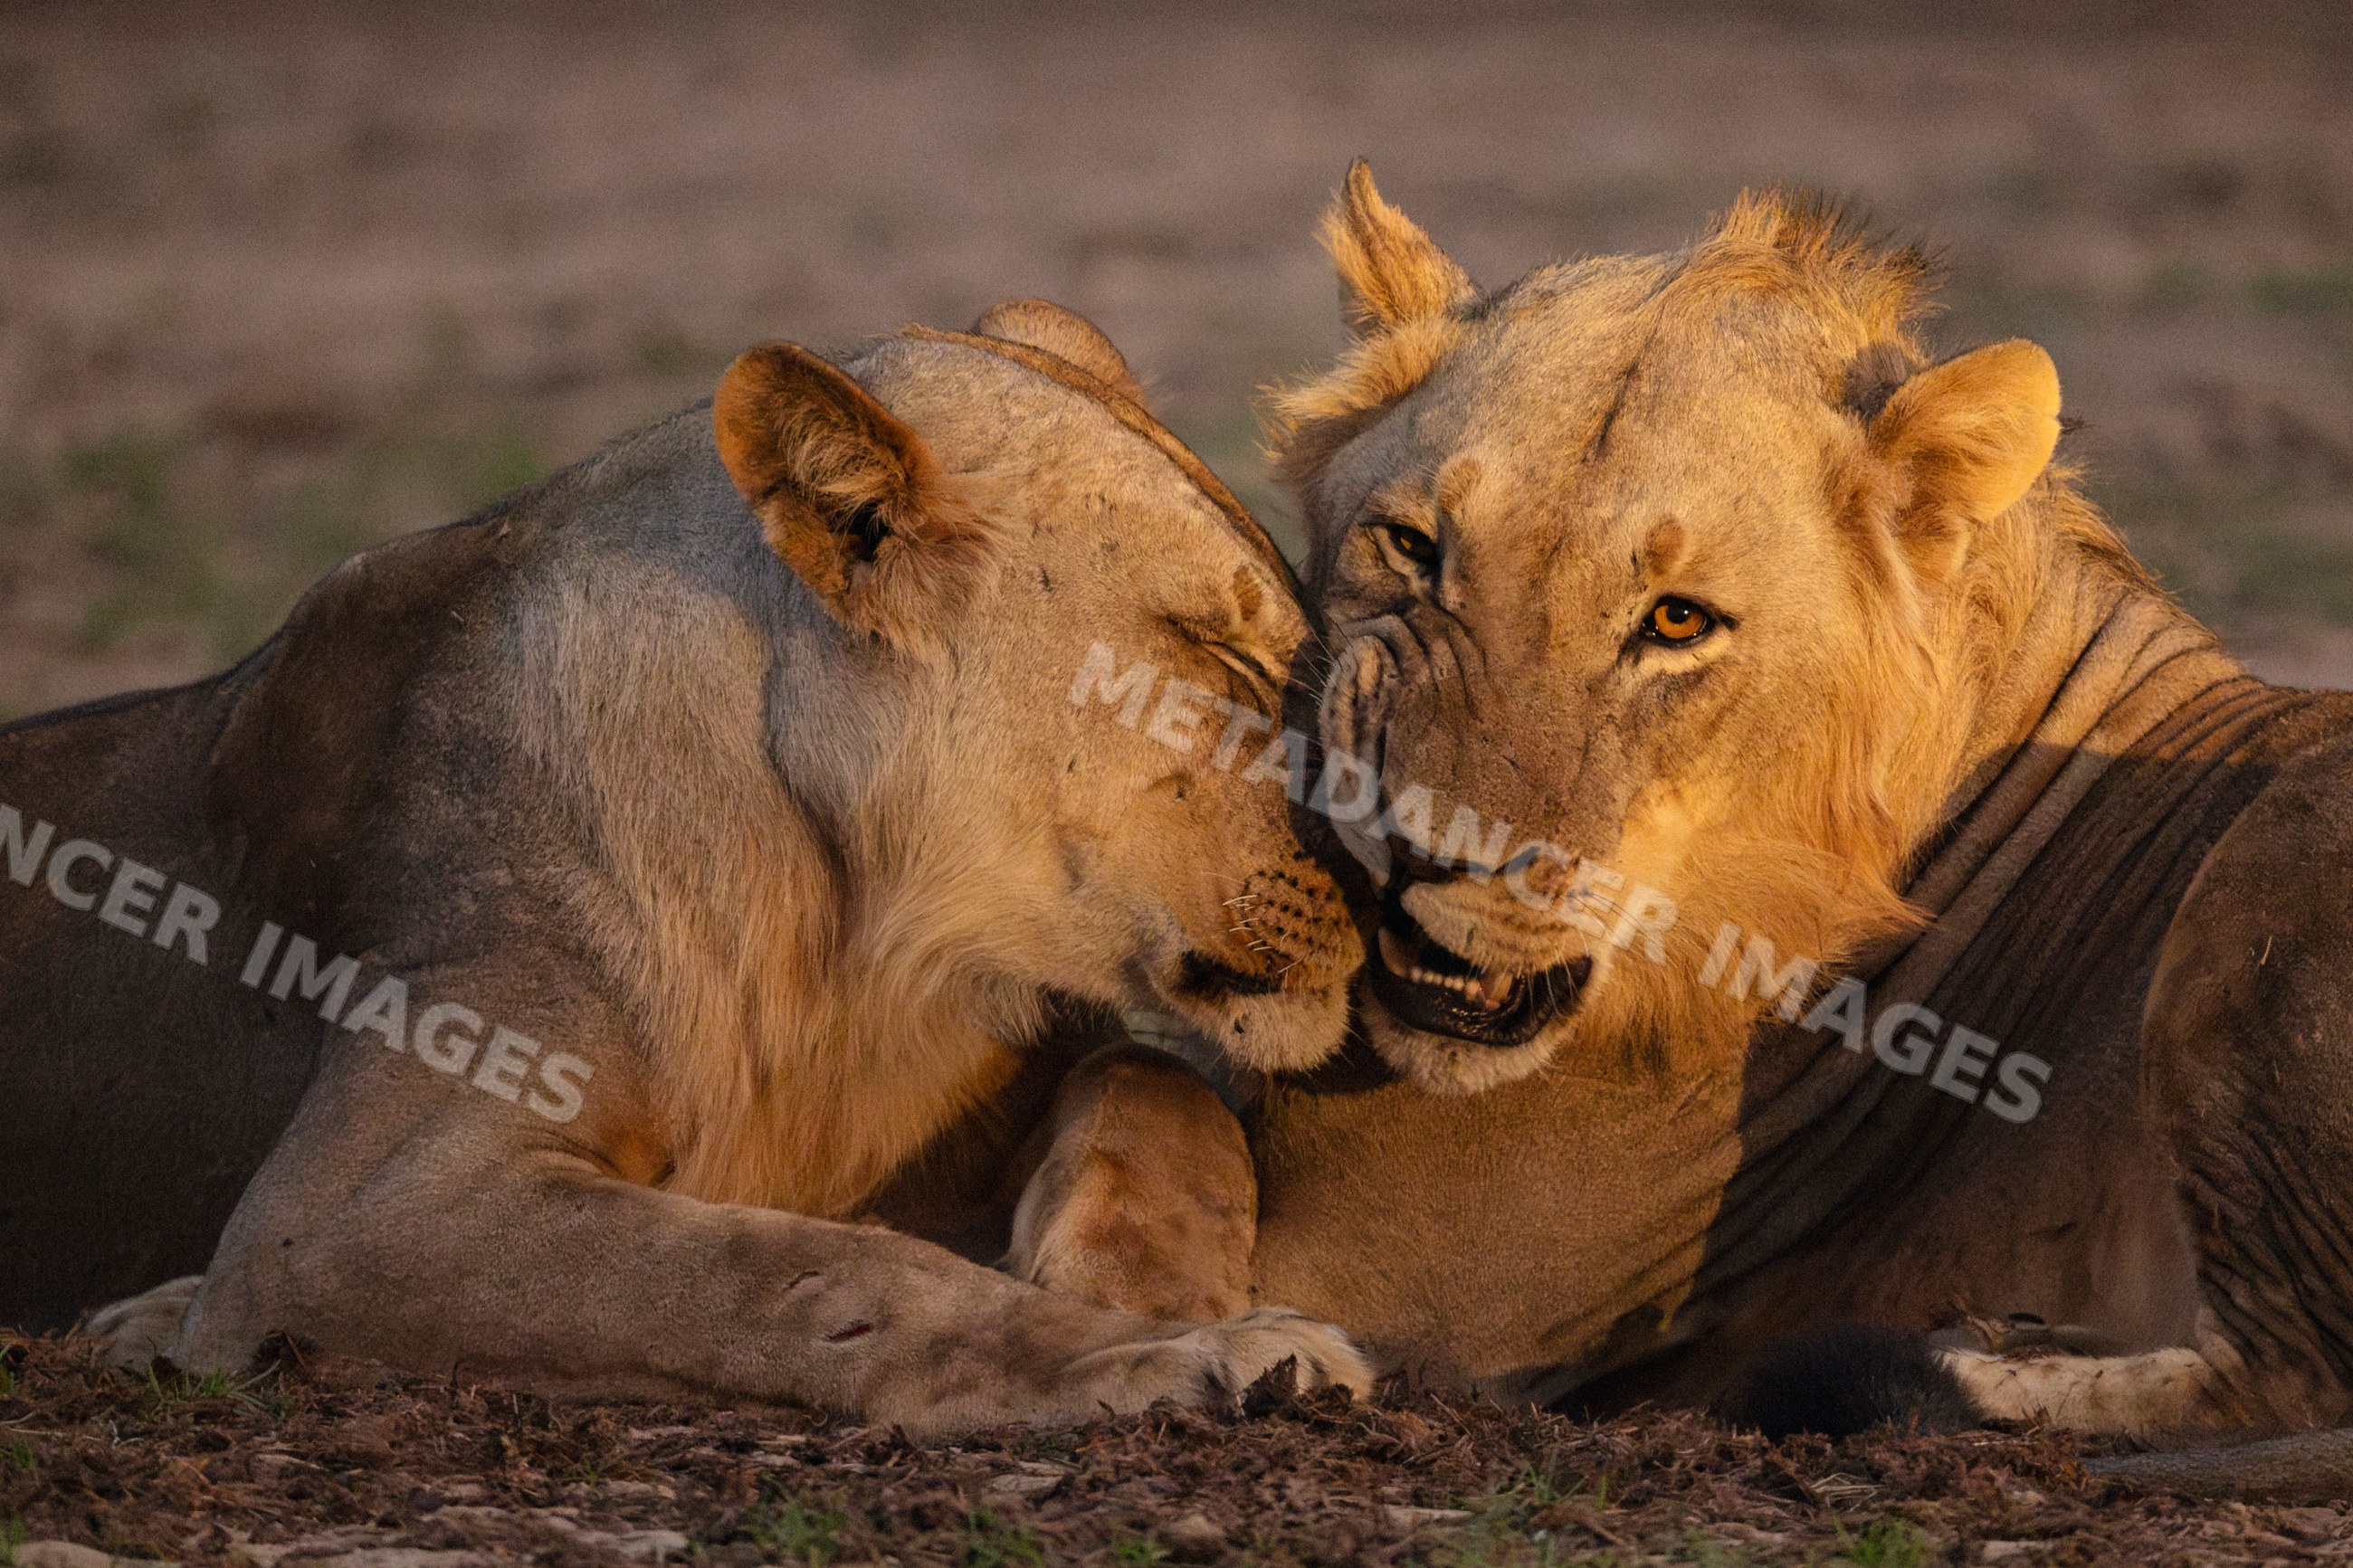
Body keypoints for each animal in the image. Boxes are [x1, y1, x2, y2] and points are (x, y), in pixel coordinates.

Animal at [2, 299, 1374, 1432]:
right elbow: (794, 1270)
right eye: (1222, 656)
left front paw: (1155, 1288)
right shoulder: (332, 1225)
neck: (850, 929)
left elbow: (1159, 1076)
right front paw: (1154, 1354)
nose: (1394, 860)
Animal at [1011, 167, 2353, 1497]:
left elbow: (1138, 1069)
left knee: (2291, 1374)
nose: (1420, 854)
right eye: (1412, 546)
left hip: (2267, 873)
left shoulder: (1403, 1276)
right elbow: (1134, 1065)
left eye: (1675, 621)